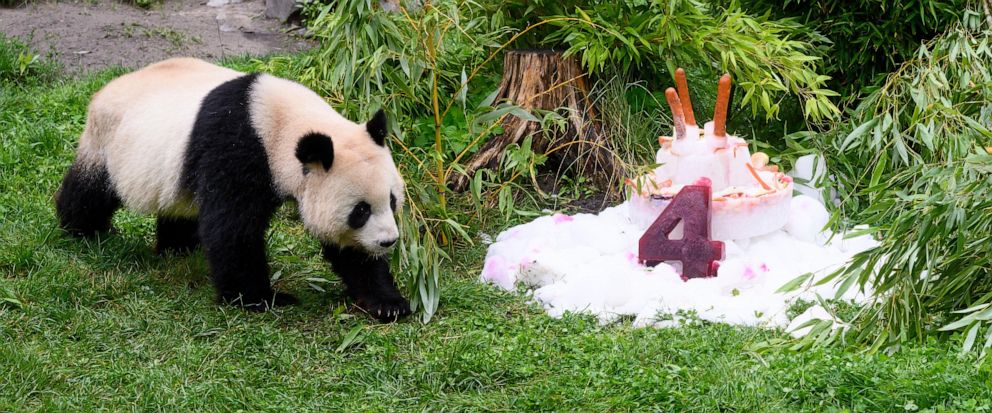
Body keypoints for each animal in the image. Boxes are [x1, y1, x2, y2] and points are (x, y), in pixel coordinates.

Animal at [53, 57, 410, 322]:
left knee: (179, 205)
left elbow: (349, 250)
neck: (282, 123)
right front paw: (262, 298)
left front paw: (387, 302)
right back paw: (85, 229)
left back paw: (178, 246)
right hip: (108, 141)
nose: (388, 241)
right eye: (360, 211)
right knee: (91, 190)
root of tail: (104, 90)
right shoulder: (238, 147)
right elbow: (232, 229)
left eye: (392, 201)